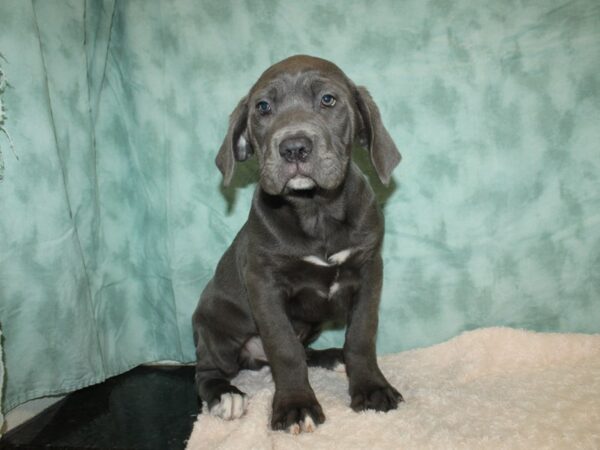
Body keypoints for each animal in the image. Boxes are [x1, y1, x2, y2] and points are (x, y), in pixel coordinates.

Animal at [192, 54, 404, 434]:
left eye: (328, 100)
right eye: (262, 107)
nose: (293, 147)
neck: (315, 210)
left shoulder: (369, 270)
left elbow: (361, 335)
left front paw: (371, 387)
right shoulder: (264, 284)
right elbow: (284, 348)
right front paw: (296, 405)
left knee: (306, 348)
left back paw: (330, 357)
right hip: (216, 327)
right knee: (206, 370)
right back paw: (225, 395)